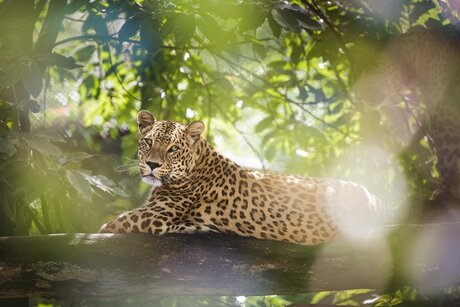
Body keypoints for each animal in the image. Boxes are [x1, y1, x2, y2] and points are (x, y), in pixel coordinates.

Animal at [99, 110, 386, 245]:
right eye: (148, 142)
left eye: (173, 149)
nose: (152, 164)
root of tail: (374, 199)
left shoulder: (156, 215)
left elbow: (113, 223)